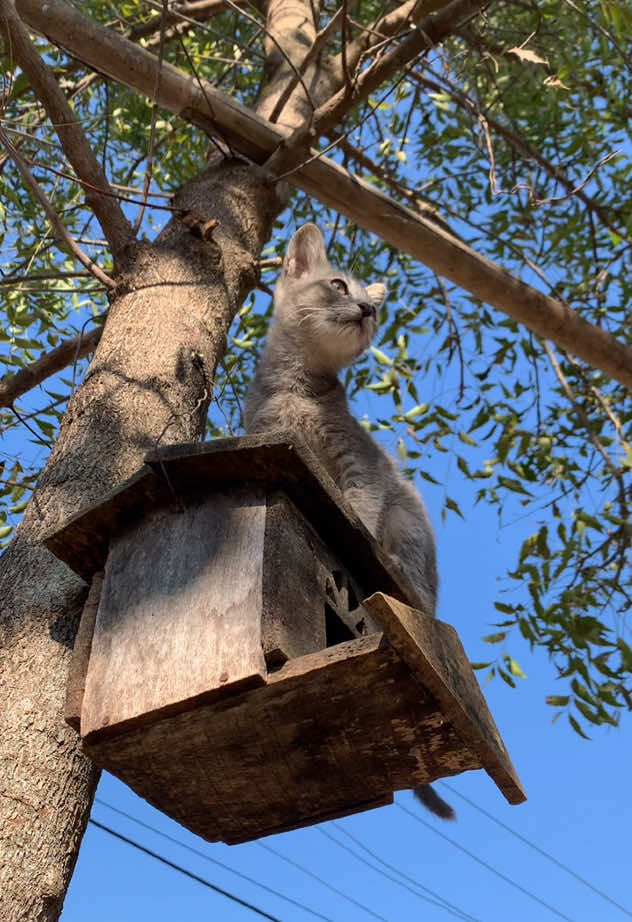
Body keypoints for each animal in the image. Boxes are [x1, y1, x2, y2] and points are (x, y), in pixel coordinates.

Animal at [243, 225, 454, 820]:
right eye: (337, 285)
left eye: (375, 310)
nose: (365, 307)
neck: (296, 392)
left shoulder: (361, 468)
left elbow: (356, 509)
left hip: (408, 527)